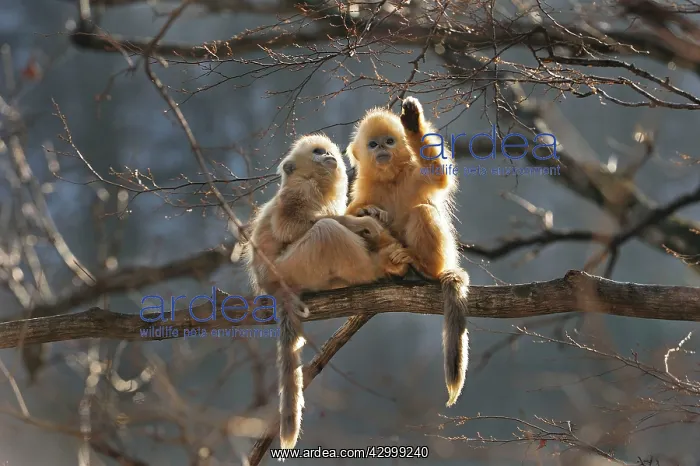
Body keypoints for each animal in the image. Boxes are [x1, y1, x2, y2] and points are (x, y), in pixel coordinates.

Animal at [244, 133, 412, 451]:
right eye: (317, 152)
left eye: (325, 151)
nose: (328, 157)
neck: (316, 183)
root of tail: (270, 286)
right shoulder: (298, 192)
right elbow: (291, 227)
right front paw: (361, 221)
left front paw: (368, 212)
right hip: (292, 268)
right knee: (326, 230)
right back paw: (377, 265)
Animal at [345, 97, 470, 408]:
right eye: (373, 144)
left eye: (390, 141)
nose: (383, 150)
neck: (390, 179)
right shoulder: (363, 189)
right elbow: (349, 215)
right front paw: (368, 213)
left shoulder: (417, 174)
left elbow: (440, 177)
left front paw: (413, 123)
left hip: (441, 257)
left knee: (424, 210)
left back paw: (421, 266)